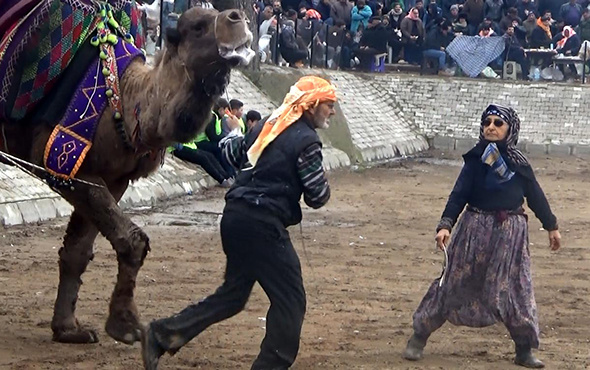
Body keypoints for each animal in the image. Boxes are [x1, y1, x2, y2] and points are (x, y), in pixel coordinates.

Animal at [0, 4, 254, 346]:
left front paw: (70, 329)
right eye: (198, 26)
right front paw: (128, 326)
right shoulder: (62, 162)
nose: (238, 17)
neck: (122, 99)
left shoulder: (113, 177)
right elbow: (133, 240)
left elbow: (79, 251)